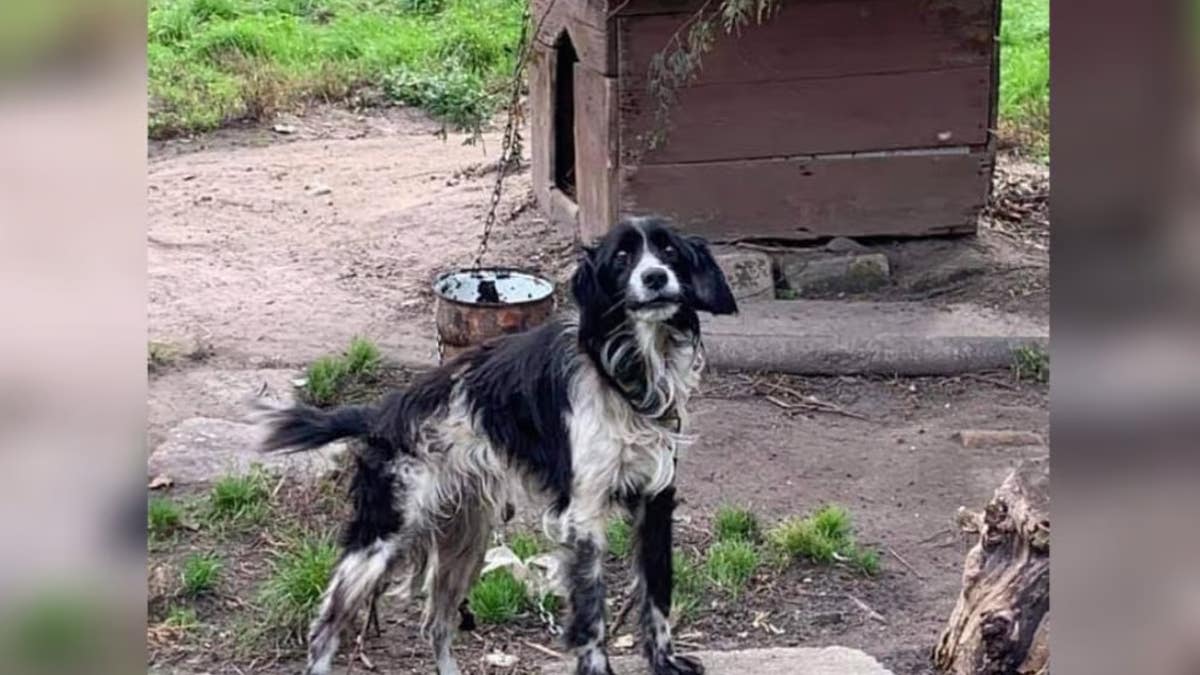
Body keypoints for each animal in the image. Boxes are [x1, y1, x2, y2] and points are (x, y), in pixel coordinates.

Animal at [258, 216, 734, 672]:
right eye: (621, 257)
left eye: (668, 250)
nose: (654, 276)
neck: (628, 370)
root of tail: (382, 413)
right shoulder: (583, 514)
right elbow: (590, 617)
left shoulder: (655, 499)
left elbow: (657, 595)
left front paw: (666, 662)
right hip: (385, 534)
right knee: (325, 628)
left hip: (466, 537)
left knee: (436, 626)